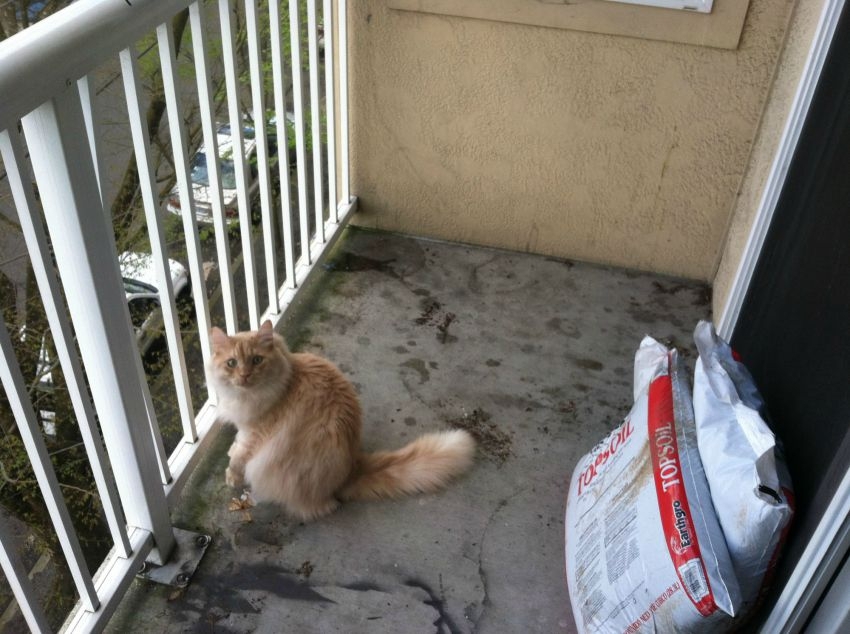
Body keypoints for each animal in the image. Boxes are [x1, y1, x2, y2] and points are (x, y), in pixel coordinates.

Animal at [205, 320, 470, 520]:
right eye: (232, 363)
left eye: (257, 360)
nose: (244, 376)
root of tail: (351, 468)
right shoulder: (245, 428)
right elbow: (237, 445)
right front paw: (231, 451)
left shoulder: (257, 433)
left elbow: (240, 459)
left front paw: (232, 476)